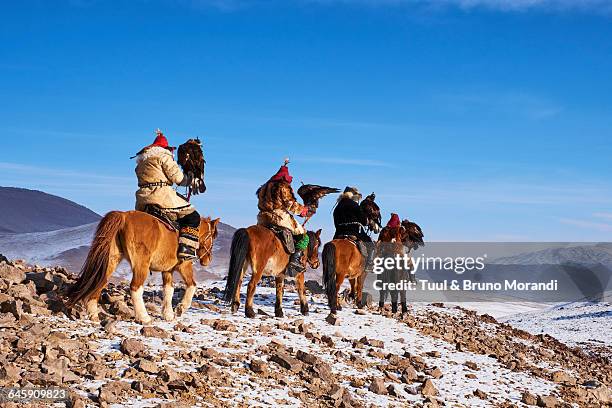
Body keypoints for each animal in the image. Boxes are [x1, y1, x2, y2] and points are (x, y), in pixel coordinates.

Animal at [66, 212, 219, 324]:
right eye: (212, 236)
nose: (208, 260)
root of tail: (123, 215)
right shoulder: (184, 266)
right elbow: (192, 284)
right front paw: (181, 308)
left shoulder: (167, 270)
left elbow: (168, 290)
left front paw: (168, 314)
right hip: (141, 265)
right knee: (135, 287)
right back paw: (144, 318)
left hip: (111, 260)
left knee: (101, 281)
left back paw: (93, 315)